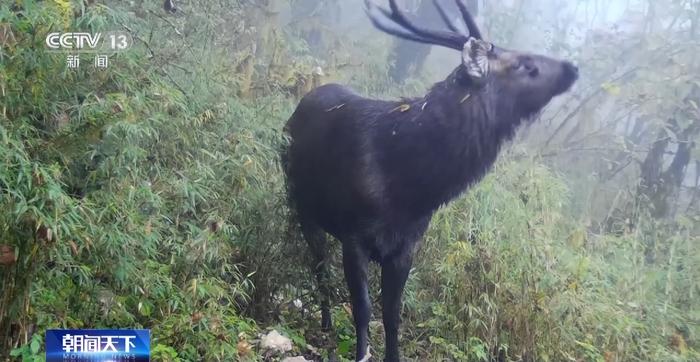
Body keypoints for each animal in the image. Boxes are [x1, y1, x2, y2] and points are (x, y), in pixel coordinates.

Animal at [282, 1, 576, 360]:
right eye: (525, 64)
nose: (571, 67)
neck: (412, 191)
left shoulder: (406, 247)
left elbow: (392, 314)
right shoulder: (354, 235)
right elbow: (363, 309)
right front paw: (360, 353)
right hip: (301, 203)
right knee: (320, 267)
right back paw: (324, 321)